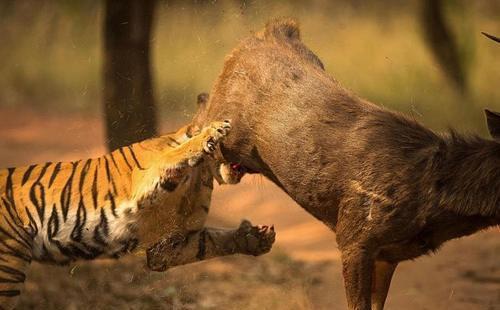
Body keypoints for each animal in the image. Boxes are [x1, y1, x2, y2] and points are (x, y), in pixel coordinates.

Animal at [0, 97, 274, 308]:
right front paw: (214, 129)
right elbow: (179, 151)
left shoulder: (167, 245)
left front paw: (254, 238)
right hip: (7, 267)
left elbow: (212, 242)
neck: (202, 175)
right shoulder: (148, 177)